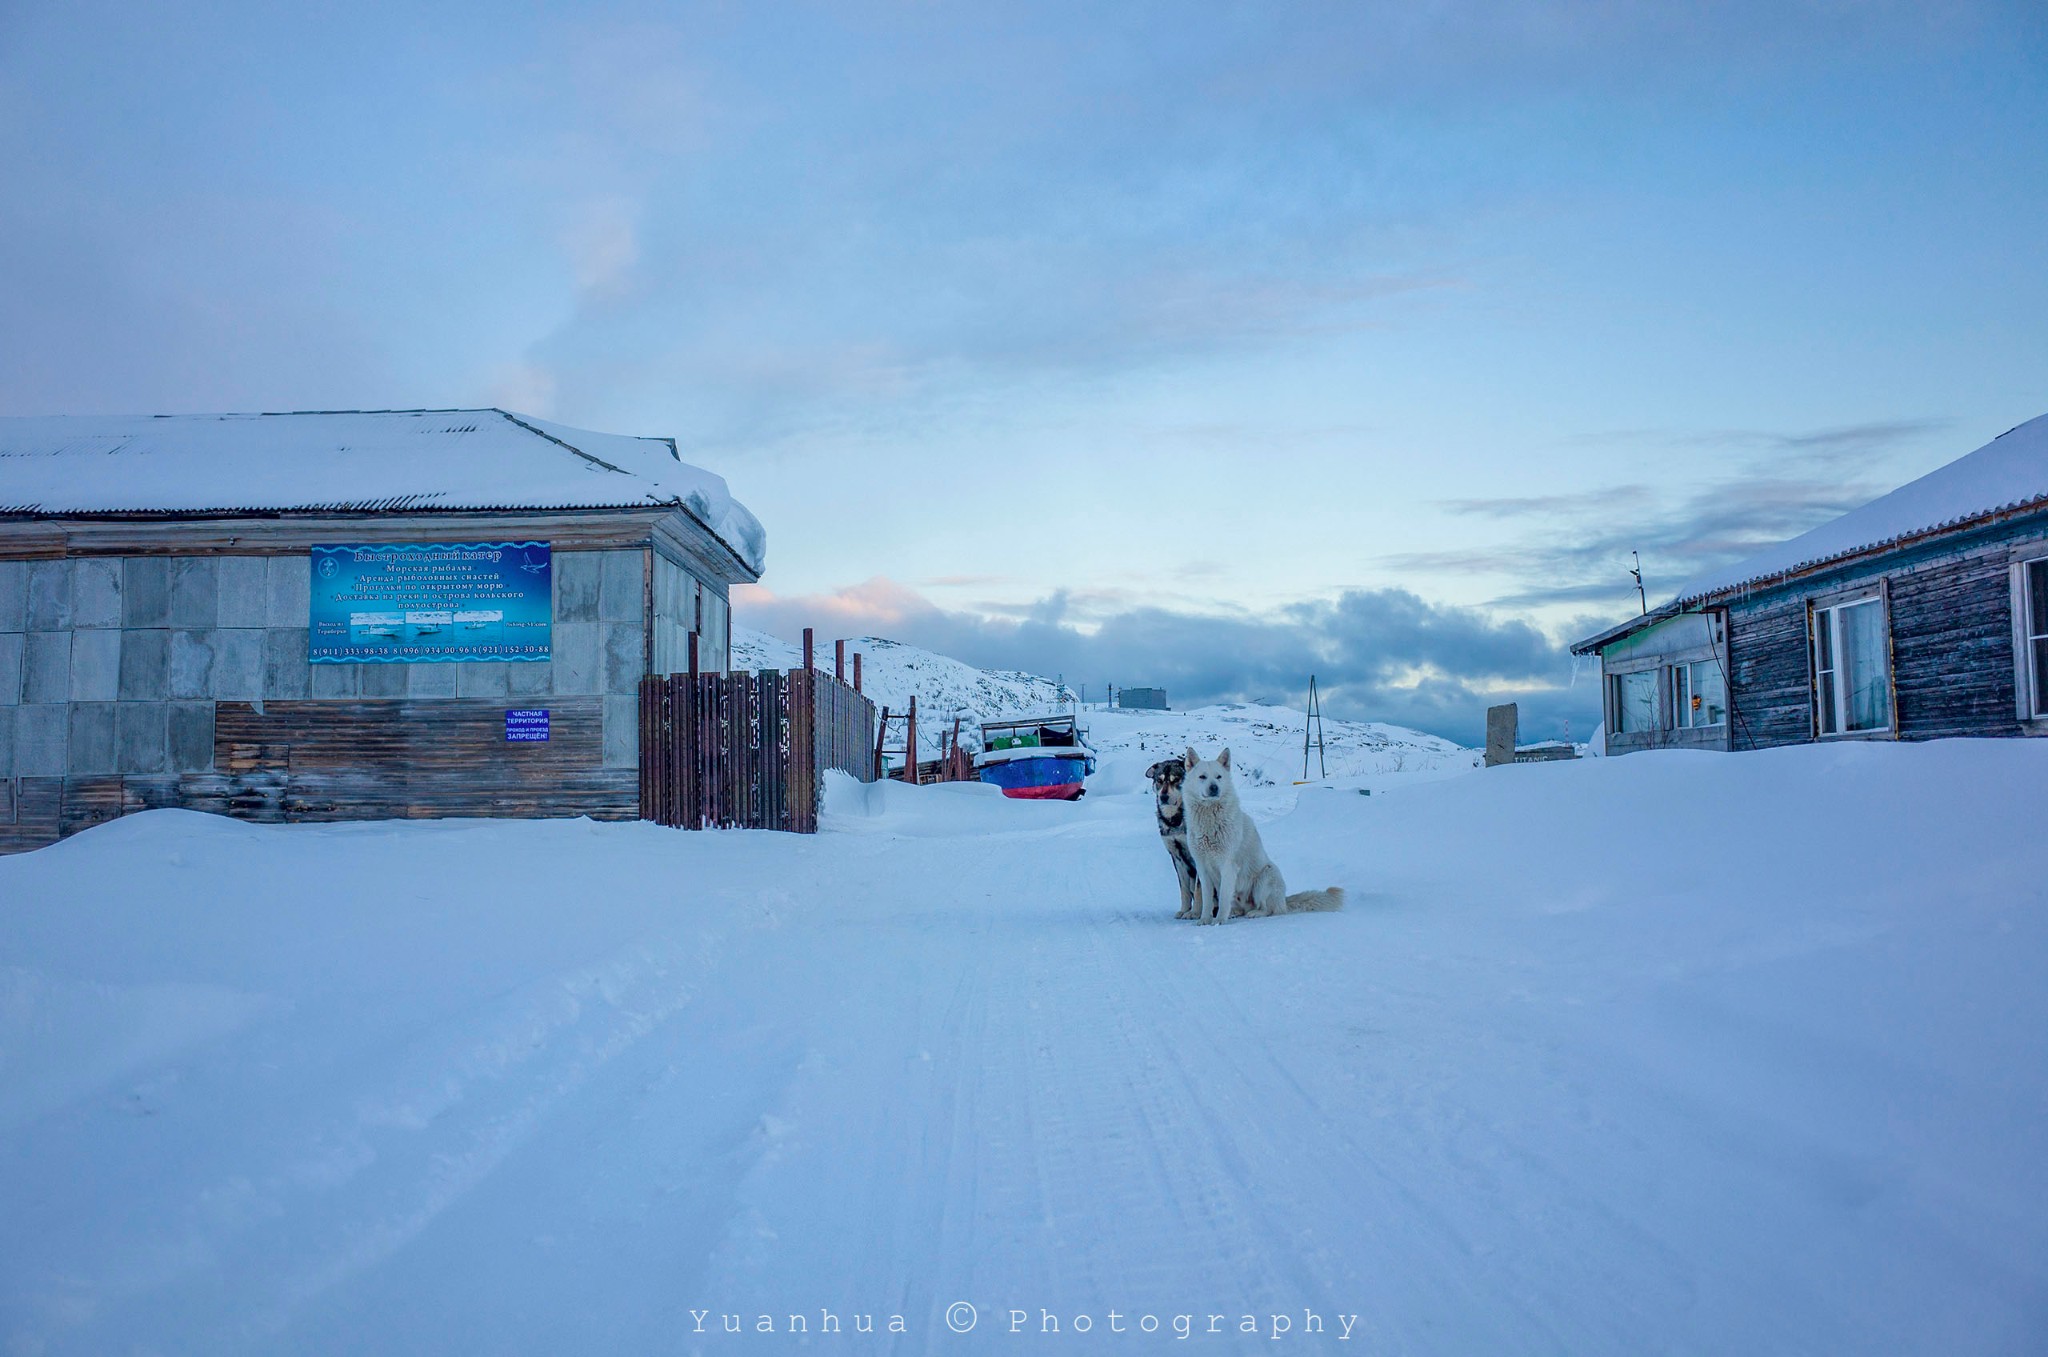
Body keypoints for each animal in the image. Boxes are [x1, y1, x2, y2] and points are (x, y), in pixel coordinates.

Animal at [1187, 749, 1343, 929]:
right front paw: (1205, 919)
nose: (1214, 788)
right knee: (1242, 908)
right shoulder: (1203, 869)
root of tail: (1284, 901)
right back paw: (1235, 912)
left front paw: (1219, 921)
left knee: (1267, 909)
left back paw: (1255, 913)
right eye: (1202, 777)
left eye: (1219, 777)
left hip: (1265, 877)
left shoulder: (1227, 866)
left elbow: (1223, 900)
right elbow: (1206, 900)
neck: (1209, 820)